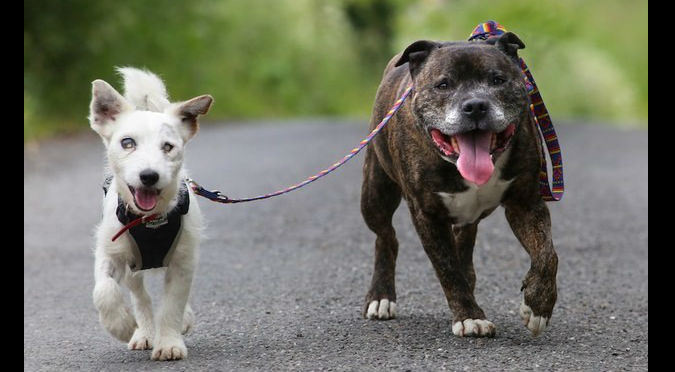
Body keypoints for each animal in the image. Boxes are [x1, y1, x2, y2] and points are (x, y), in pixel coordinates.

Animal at [89, 67, 211, 360]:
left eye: (168, 147)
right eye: (127, 142)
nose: (149, 175)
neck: (151, 220)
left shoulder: (183, 262)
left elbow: (172, 304)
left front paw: (169, 343)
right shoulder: (110, 251)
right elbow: (104, 290)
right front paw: (120, 325)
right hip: (133, 267)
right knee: (140, 296)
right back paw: (142, 332)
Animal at [362, 32, 556, 338]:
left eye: (497, 80)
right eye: (443, 85)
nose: (475, 105)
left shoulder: (525, 203)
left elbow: (547, 254)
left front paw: (538, 306)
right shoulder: (427, 214)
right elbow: (447, 268)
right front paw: (469, 317)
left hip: (466, 216)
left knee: (463, 243)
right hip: (375, 194)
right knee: (386, 237)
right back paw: (381, 296)